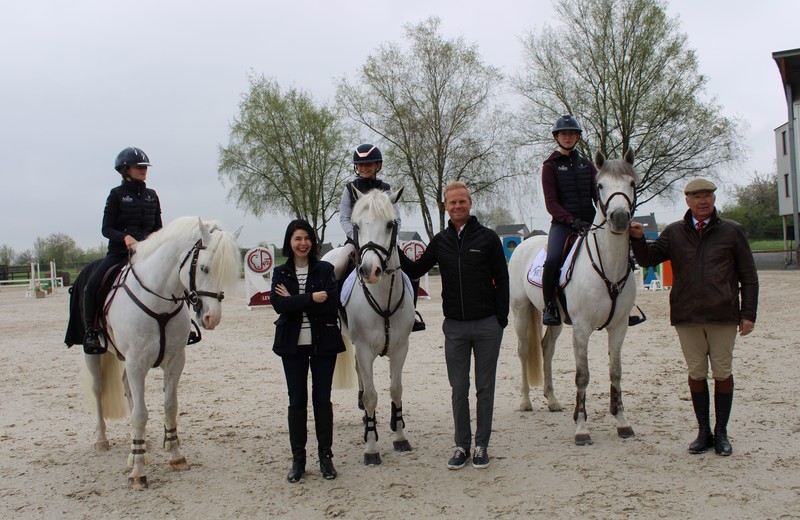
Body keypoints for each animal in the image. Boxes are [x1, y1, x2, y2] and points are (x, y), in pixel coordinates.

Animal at [77, 215, 241, 488]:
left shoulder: (175, 361)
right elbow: (140, 414)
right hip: (93, 353)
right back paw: (102, 440)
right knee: (98, 389)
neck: (159, 300)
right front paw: (138, 473)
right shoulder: (136, 363)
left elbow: (169, 406)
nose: (212, 318)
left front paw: (175, 455)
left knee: (127, 390)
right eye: (204, 268)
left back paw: (138, 446)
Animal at [324, 189, 416, 466]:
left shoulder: (400, 348)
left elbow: (396, 389)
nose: (369, 271)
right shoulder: (364, 349)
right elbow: (371, 396)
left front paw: (400, 435)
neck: (382, 296)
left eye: (390, 224)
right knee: (361, 377)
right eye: (356, 226)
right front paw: (371, 447)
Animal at [506, 150, 644, 446]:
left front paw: (622, 422)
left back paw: (552, 400)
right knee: (524, 350)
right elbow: (583, 376)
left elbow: (616, 372)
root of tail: (524, 243)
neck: (608, 268)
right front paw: (581, 428)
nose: (619, 217)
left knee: (546, 348)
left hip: (556, 320)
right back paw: (525, 402)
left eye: (632, 183)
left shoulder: (619, 328)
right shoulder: (581, 329)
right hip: (521, 311)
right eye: (600, 185)